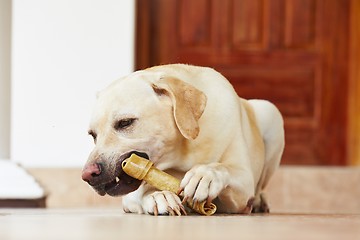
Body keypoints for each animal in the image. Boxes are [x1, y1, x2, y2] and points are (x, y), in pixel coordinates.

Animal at [81, 62, 284, 215]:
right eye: (93, 135)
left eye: (125, 123)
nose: (87, 175)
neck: (182, 153)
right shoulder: (130, 195)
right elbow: (142, 191)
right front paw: (158, 195)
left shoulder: (242, 186)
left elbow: (222, 168)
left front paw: (205, 175)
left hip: (271, 114)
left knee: (260, 187)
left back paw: (259, 202)